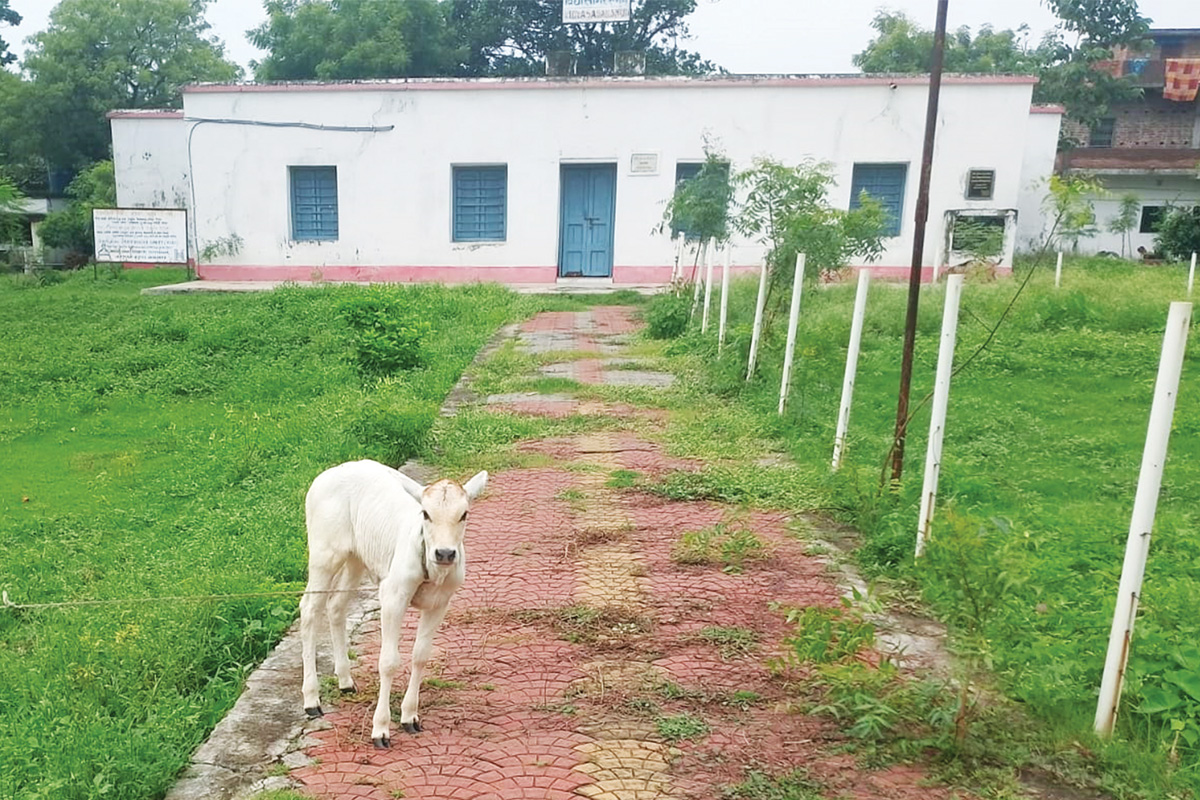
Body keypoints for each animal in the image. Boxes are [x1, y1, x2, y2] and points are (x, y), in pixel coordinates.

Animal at [300, 460, 487, 748]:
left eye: (464, 514)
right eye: (426, 514)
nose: (445, 553)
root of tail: (332, 471)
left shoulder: (441, 602)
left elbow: (420, 655)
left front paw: (410, 716)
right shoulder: (392, 595)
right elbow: (388, 661)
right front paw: (381, 729)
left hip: (356, 557)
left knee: (336, 605)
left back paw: (345, 681)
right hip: (324, 552)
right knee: (309, 609)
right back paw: (311, 700)